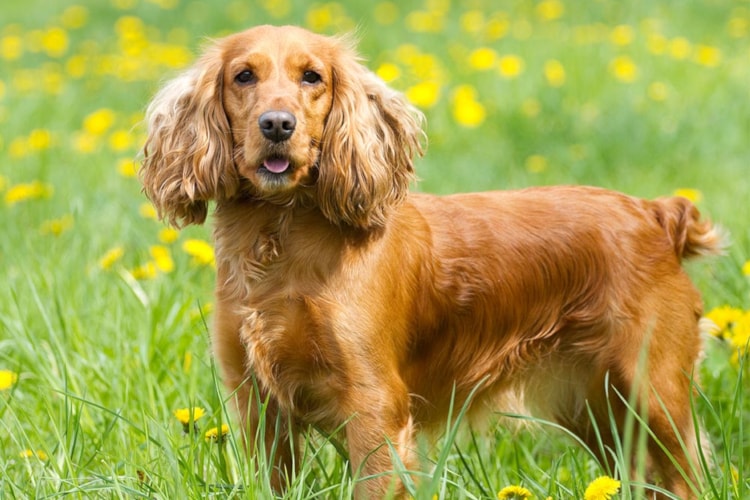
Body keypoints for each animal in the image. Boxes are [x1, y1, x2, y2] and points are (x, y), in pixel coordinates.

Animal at [141, 24, 724, 500]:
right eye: (243, 76)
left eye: (312, 77)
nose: (277, 124)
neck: (279, 240)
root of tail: (656, 213)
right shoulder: (259, 406)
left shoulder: (375, 409)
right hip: (597, 408)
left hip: (653, 394)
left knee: (685, 477)